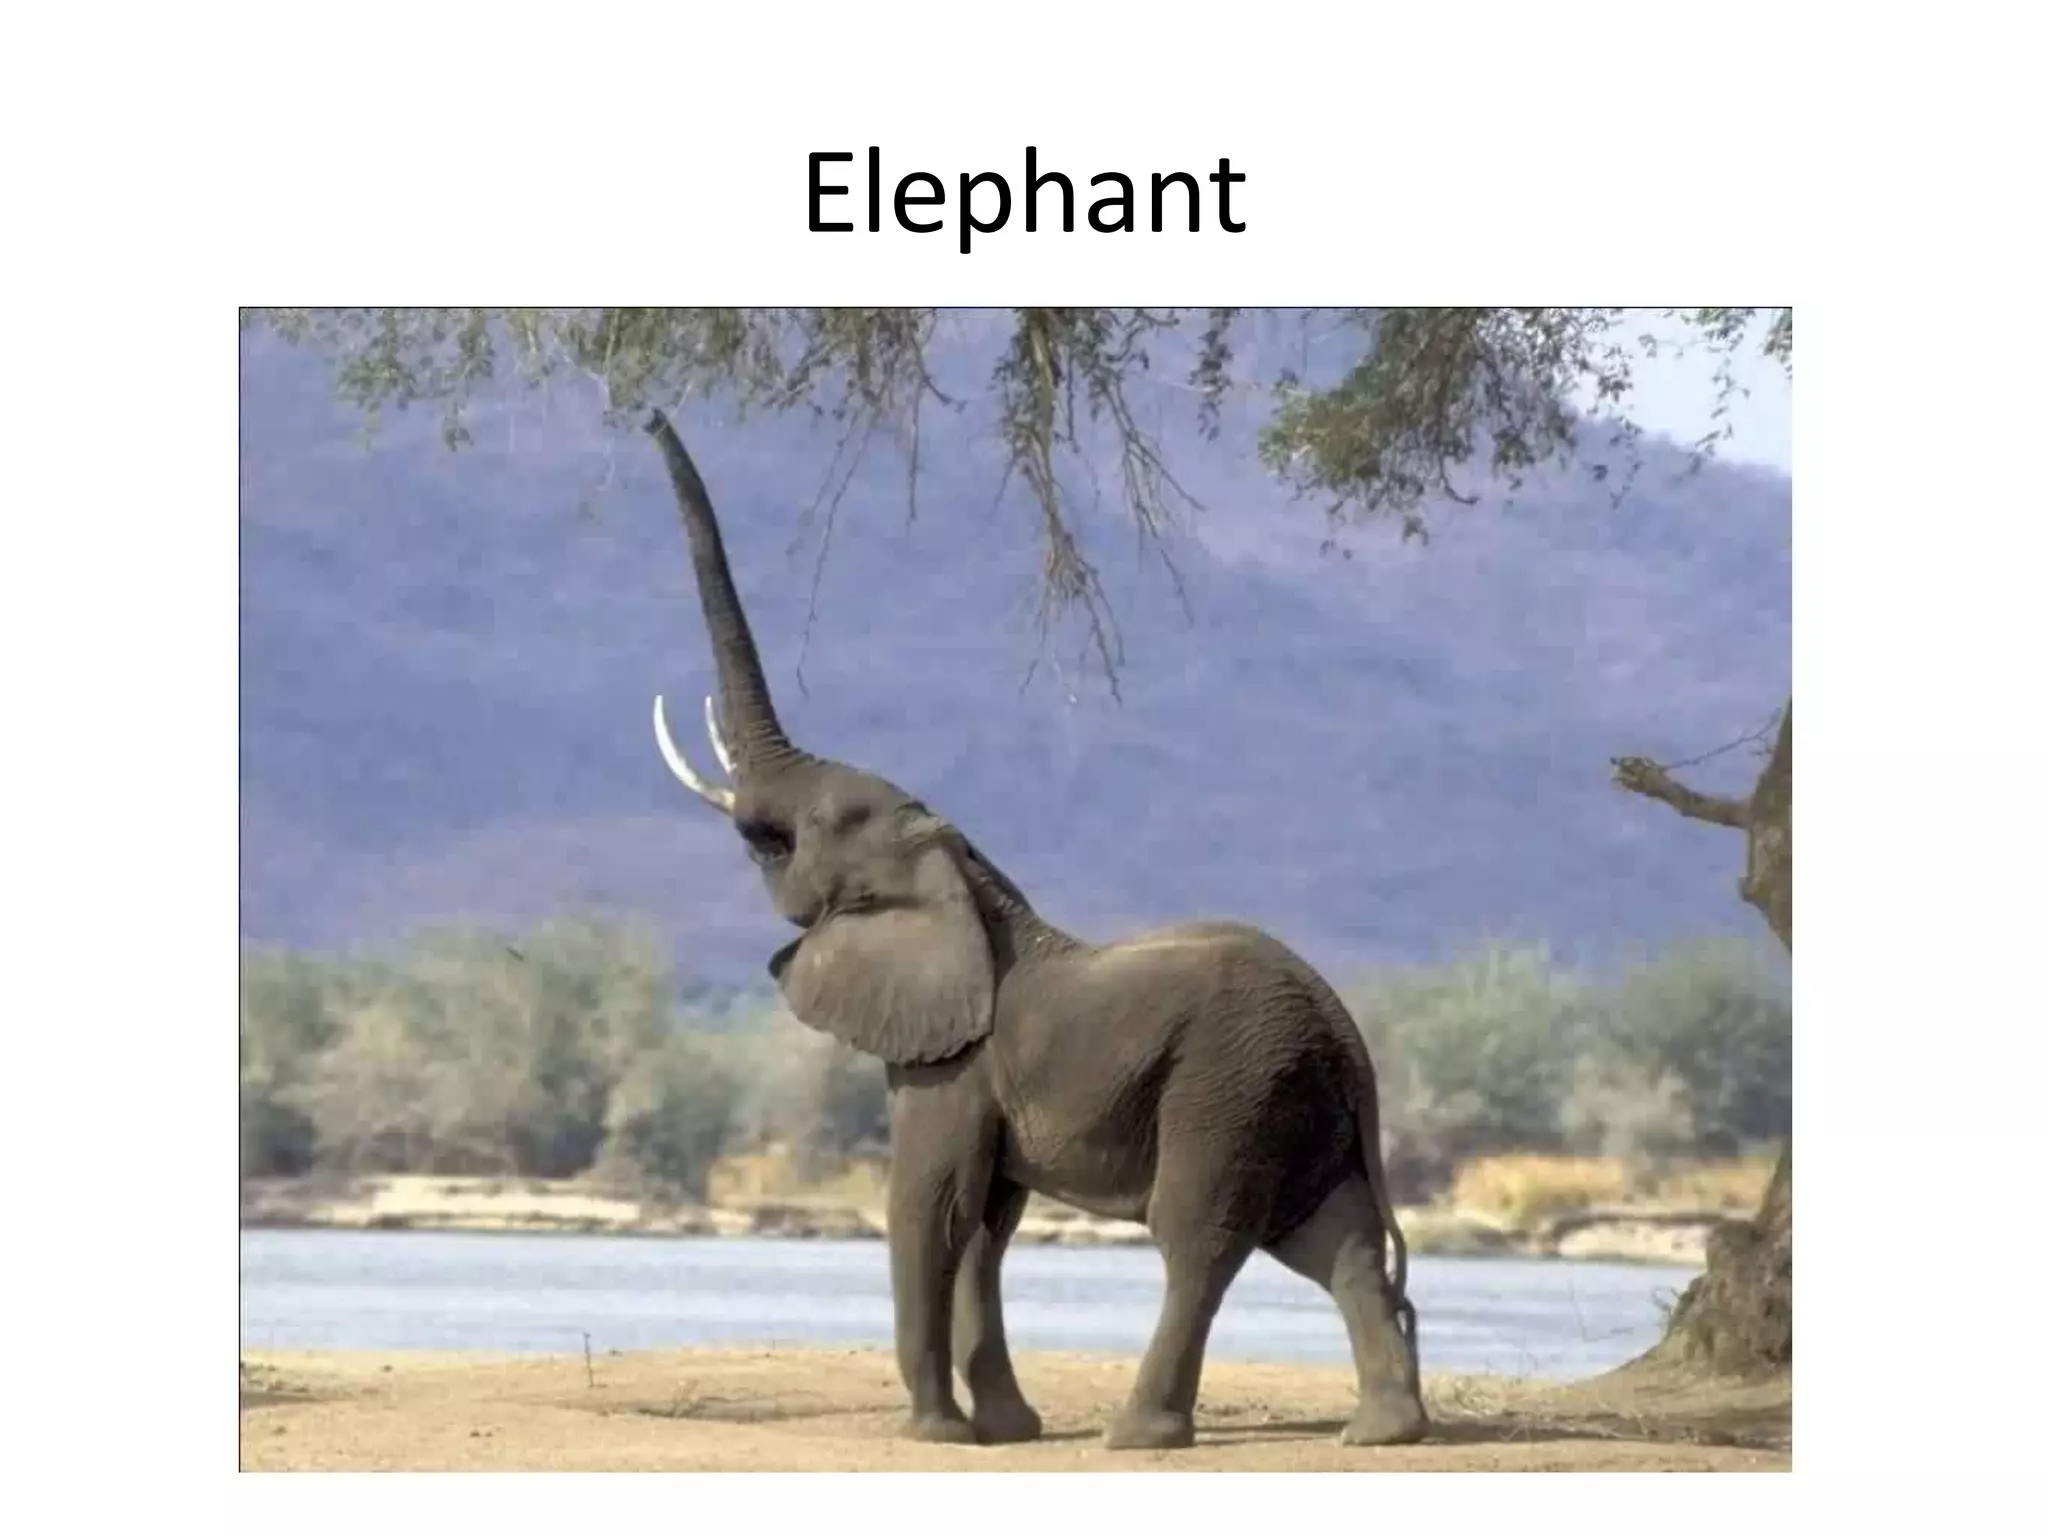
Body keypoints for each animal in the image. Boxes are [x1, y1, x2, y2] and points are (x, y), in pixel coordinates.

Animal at [640, 408, 1428, 1451]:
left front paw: (934, 1436)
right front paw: (1005, 1430)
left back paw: (1140, 1436)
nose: (648, 413)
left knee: (1199, 1237)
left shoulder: (951, 1060)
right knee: (1333, 1239)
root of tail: (1348, 1037)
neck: (964, 873)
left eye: (804, 831)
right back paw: (1385, 1433)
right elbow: (986, 1224)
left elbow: (931, 1207)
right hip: (1297, 1097)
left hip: (1232, 1084)